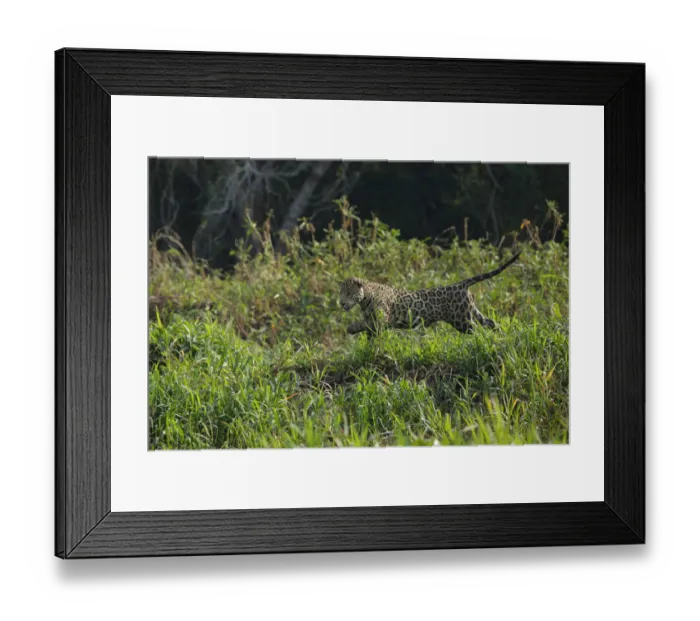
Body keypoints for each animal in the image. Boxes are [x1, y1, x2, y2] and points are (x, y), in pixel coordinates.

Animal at [339, 251, 521, 337]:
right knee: (490, 322)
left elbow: (364, 325)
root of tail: (461, 284)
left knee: (478, 330)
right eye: (341, 293)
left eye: (348, 293)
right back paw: (500, 336)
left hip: (462, 320)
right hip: (471, 312)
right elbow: (368, 330)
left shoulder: (381, 319)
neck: (365, 298)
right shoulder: (374, 321)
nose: (341, 303)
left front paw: (351, 328)